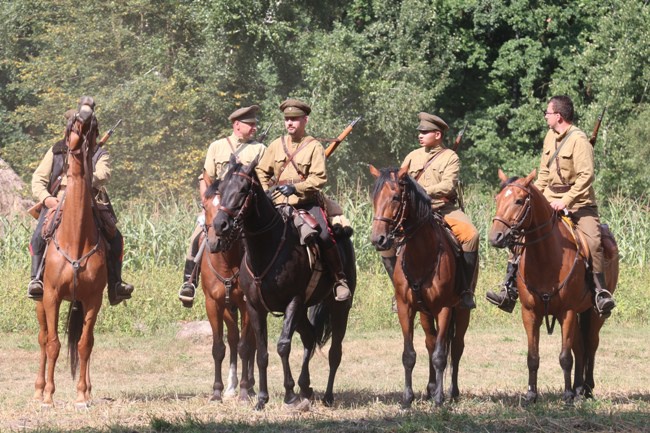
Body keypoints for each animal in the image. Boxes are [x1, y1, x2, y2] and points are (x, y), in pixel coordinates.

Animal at [210, 157, 354, 410]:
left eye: (243, 190)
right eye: (221, 189)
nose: (220, 225)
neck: (267, 248)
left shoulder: (292, 302)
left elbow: (283, 345)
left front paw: (289, 395)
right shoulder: (255, 308)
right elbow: (261, 353)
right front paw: (261, 398)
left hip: (339, 308)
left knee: (334, 352)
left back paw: (326, 395)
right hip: (303, 312)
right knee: (309, 338)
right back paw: (305, 388)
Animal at [370, 164, 470, 406]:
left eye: (396, 197)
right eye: (374, 198)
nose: (378, 239)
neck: (421, 254)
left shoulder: (444, 308)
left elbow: (441, 356)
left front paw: (439, 399)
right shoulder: (405, 308)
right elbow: (409, 354)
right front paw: (407, 398)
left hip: (461, 311)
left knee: (456, 347)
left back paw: (451, 391)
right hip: (425, 313)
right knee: (430, 342)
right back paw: (431, 387)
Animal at [486, 168, 616, 402]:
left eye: (519, 200)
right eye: (498, 199)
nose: (495, 237)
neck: (546, 256)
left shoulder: (568, 311)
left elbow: (565, 357)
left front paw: (567, 395)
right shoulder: (530, 313)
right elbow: (532, 357)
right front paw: (531, 394)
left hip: (595, 314)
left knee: (591, 345)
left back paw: (586, 388)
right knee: (580, 348)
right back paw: (579, 388)